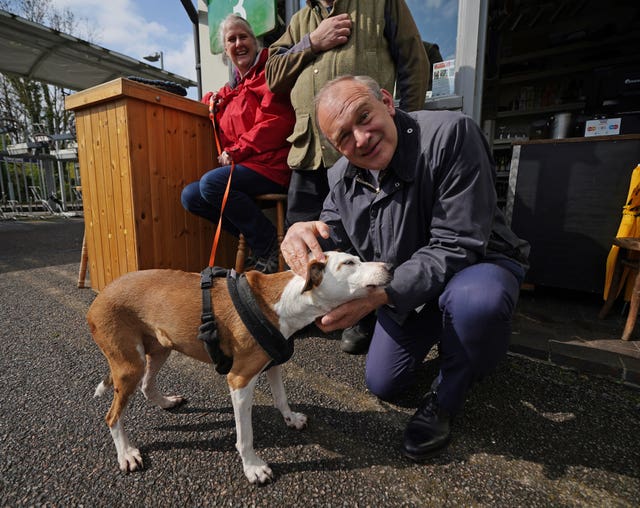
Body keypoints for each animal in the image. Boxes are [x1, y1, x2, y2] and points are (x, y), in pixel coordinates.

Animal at [87, 252, 392, 482]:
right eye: (349, 263)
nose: (389, 266)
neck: (285, 300)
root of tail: (99, 297)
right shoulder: (240, 379)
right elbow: (245, 435)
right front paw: (253, 467)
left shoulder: (273, 363)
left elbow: (281, 398)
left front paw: (290, 418)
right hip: (129, 365)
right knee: (112, 416)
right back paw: (127, 453)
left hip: (160, 348)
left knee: (147, 385)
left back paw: (167, 403)